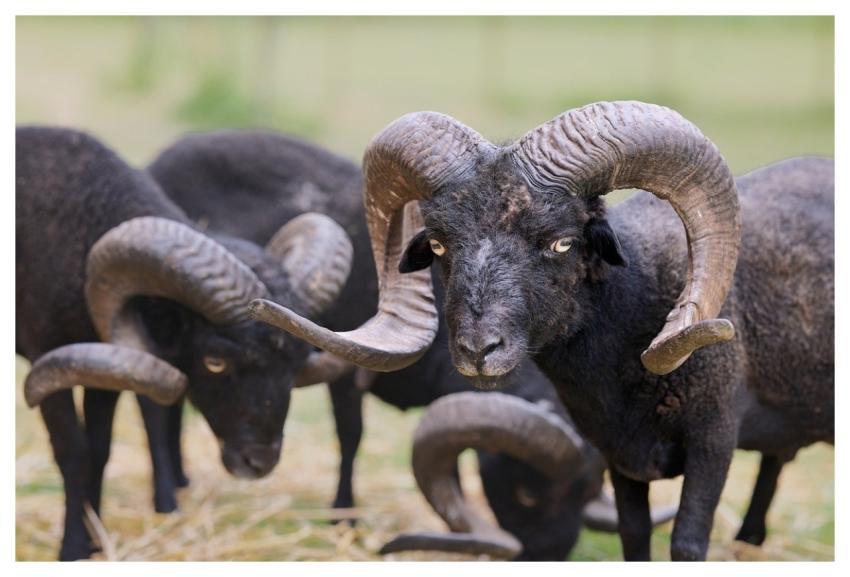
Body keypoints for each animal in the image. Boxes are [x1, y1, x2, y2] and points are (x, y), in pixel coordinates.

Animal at [16, 126, 355, 560]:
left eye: (294, 363)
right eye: (215, 361)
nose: (258, 462)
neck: (79, 233)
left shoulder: (100, 368)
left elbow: (100, 450)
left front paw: (96, 539)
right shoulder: (48, 356)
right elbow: (73, 453)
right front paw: (73, 548)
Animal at [148, 129, 678, 560]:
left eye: (589, 490)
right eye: (527, 493)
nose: (545, 558)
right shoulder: (351, 366)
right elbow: (352, 435)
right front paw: (345, 518)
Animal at [250, 101, 835, 561]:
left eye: (561, 242)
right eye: (437, 244)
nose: (478, 350)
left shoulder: (714, 438)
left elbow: (688, 543)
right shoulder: (619, 453)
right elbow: (633, 537)